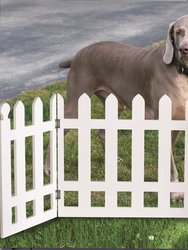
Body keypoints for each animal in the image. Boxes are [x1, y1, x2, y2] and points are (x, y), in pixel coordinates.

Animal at [46, 15, 188, 202]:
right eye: (179, 32)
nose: (184, 49)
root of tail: (77, 54)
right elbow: (170, 163)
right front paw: (176, 193)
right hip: (76, 102)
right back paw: (48, 169)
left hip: (115, 103)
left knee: (101, 132)